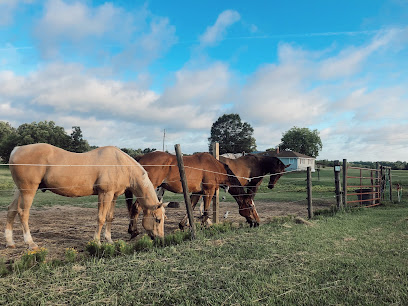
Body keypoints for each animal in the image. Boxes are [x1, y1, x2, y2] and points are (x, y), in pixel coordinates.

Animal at [5, 142, 167, 250]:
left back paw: (10, 242)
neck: (120, 164)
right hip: (28, 190)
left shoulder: (113, 196)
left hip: (20, 190)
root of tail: (16, 149)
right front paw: (97, 241)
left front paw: (109, 240)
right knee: (23, 213)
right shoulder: (105, 194)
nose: (161, 240)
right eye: (157, 219)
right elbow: (101, 218)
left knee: (11, 210)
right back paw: (30, 243)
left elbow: (109, 217)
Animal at [126, 152, 260, 238]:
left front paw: (183, 225)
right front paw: (204, 227)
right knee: (136, 208)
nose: (257, 222)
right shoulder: (208, 191)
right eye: (250, 205)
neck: (215, 167)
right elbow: (205, 211)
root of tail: (141, 157)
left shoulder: (197, 192)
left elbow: (191, 207)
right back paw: (134, 231)